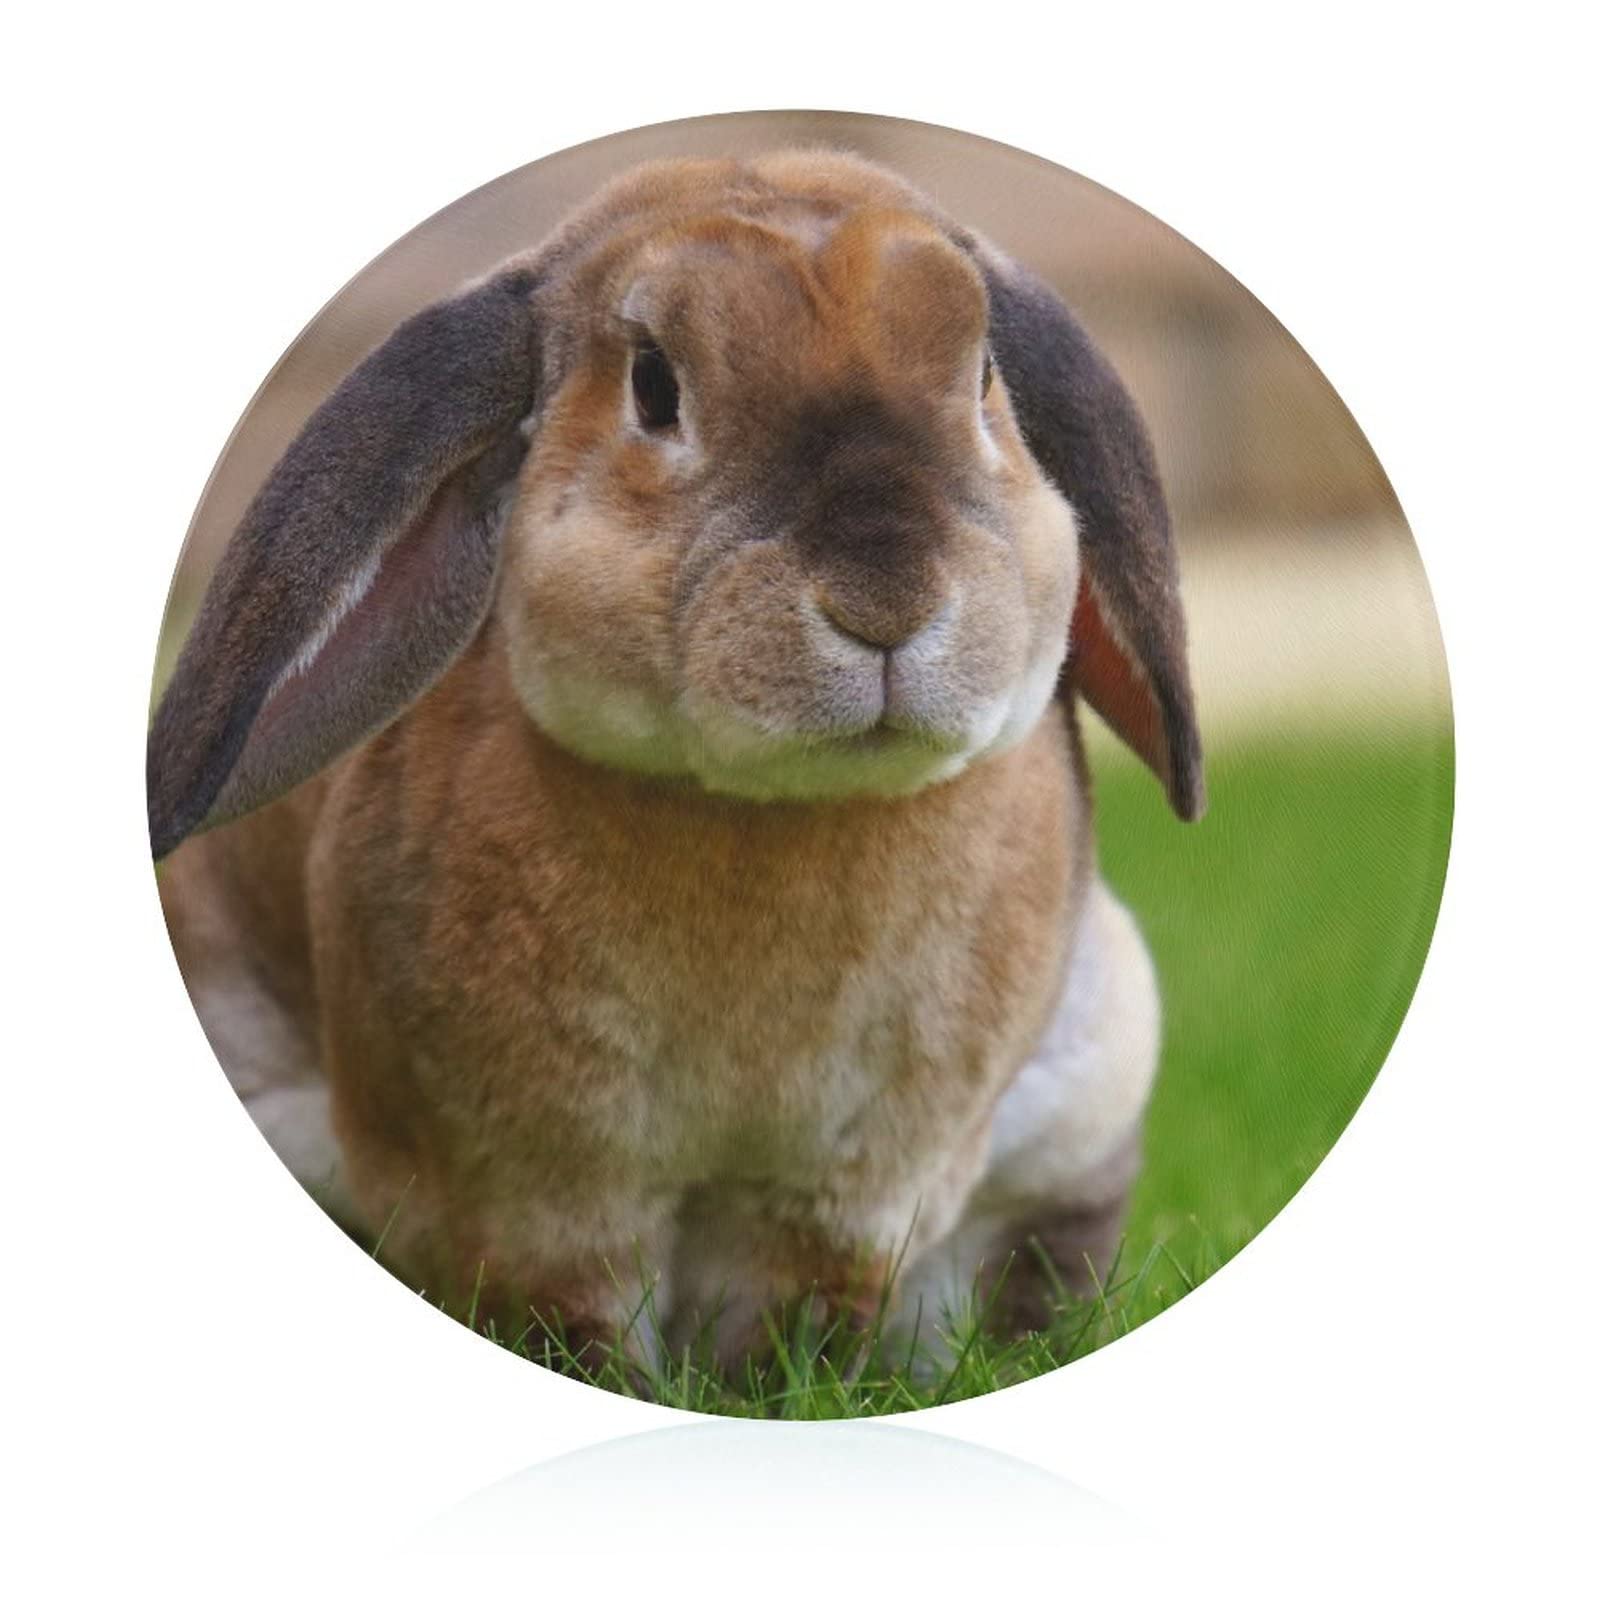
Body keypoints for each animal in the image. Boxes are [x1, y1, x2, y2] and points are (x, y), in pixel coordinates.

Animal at [148, 149, 1204, 1370]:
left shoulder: (846, 1192)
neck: (769, 814)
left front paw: (778, 1386)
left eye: (984, 376)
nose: (885, 600)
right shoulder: (535, 1190)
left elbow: (793, 1314)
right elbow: (578, 1315)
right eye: (654, 386)